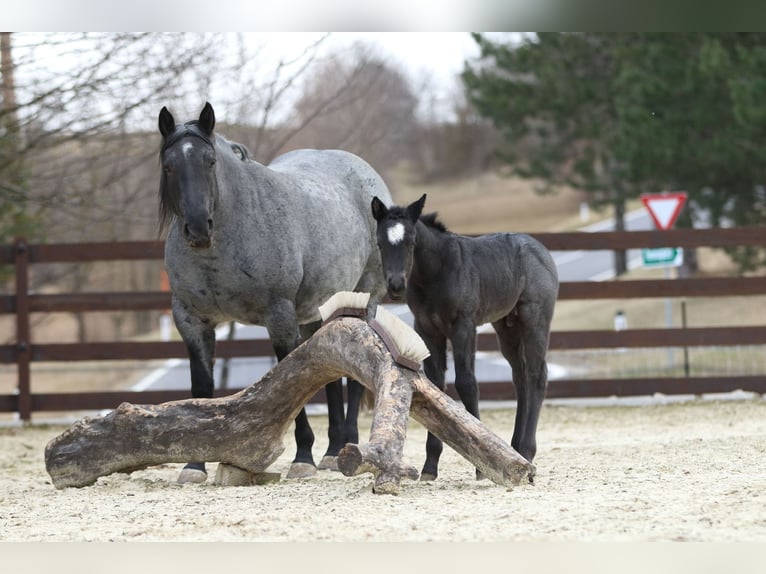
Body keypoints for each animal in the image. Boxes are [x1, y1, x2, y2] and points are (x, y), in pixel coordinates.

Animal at [160, 102, 392, 482]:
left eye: (210, 161)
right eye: (169, 165)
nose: (197, 228)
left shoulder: (279, 315)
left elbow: (289, 383)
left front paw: (302, 458)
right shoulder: (192, 321)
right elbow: (202, 388)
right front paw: (194, 466)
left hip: (366, 298)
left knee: (355, 373)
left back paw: (344, 448)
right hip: (317, 313)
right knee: (328, 369)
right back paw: (332, 452)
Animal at [372, 196, 560, 484]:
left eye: (412, 242)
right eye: (380, 243)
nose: (395, 285)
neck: (436, 273)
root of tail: (539, 248)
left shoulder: (464, 326)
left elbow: (466, 383)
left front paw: (481, 465)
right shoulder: (427, 330)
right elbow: (436, 386)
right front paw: (430, 465)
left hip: (534, 321)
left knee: (537, 376)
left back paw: (527, 451)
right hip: (506, 327)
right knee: (520, 378)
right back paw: (515, 448)